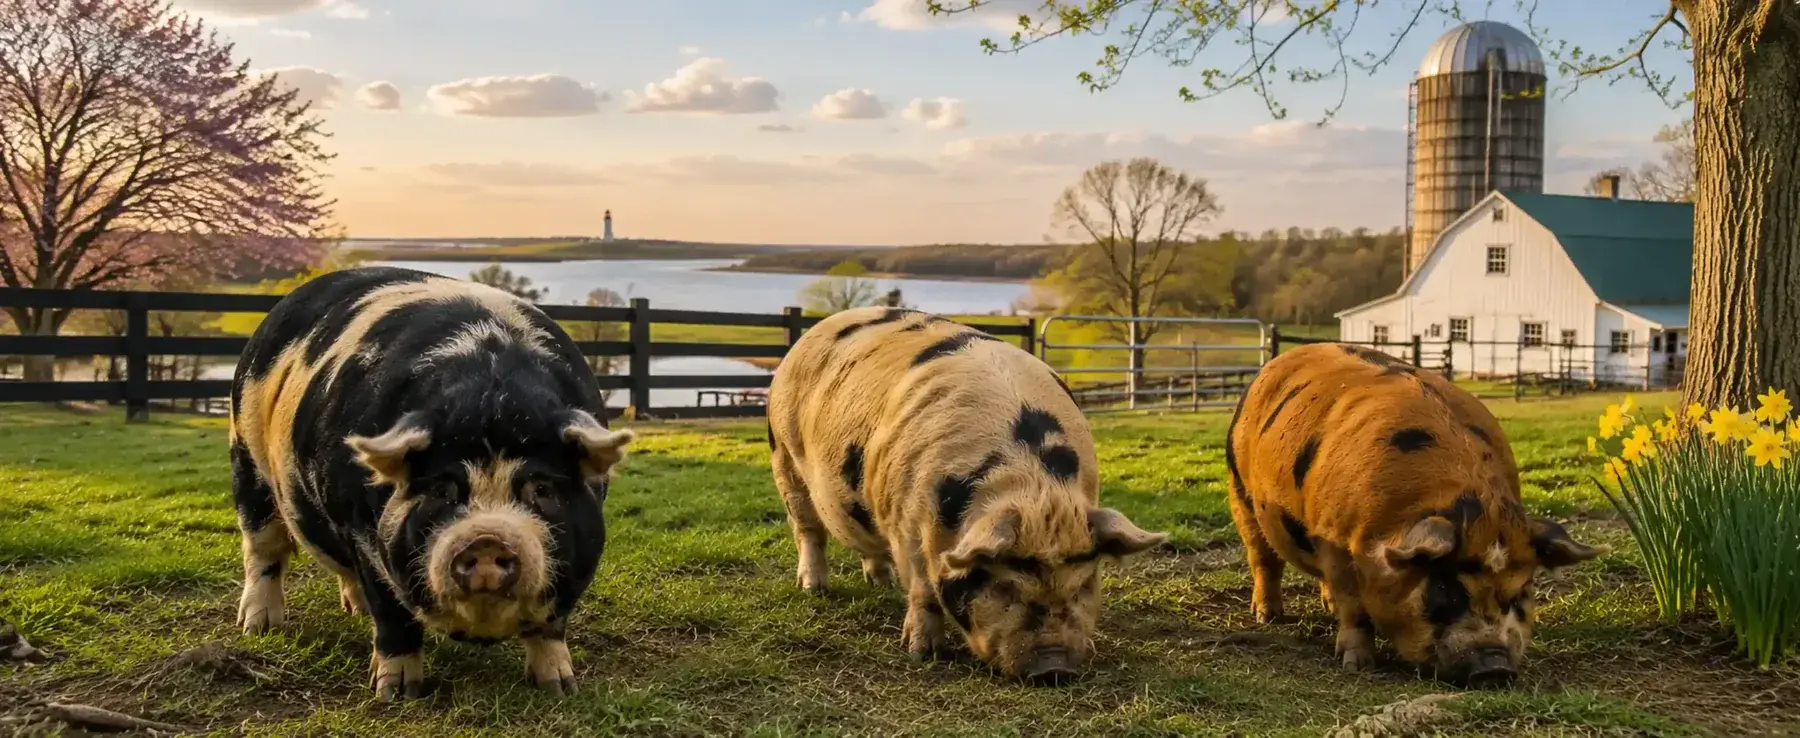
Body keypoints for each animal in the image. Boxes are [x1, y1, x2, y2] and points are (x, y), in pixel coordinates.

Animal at [229, 266, 634, 700]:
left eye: (541, 489)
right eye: (443, 490)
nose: (487, 540)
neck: (492, 396)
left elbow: (551, 627)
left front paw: (559, 687)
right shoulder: (363, 534)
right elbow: (393, 615)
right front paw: (396, 693)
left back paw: (353, 610)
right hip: (246, 457)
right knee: (263, 548)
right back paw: (258, 627)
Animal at [767, 306, 1168, 684]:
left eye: (1083, 584)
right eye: (1004, 585)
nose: (1053, 667)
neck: (1031, 490)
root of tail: (809, 335)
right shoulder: (906, 523)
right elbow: (924, 592)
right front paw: (922, 653)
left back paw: (882, 583)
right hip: (783, 457)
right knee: (807, 529)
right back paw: (814, 588)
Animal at [1225, 342, 1606, 687]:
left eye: (1520, 594)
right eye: (1445, 587)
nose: (1495, 667)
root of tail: (1273, 364)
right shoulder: (1335, 540)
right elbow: (1354, 608)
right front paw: (1357, 666)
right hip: (1240, 492)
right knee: (1263, 558)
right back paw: (1268, 617)